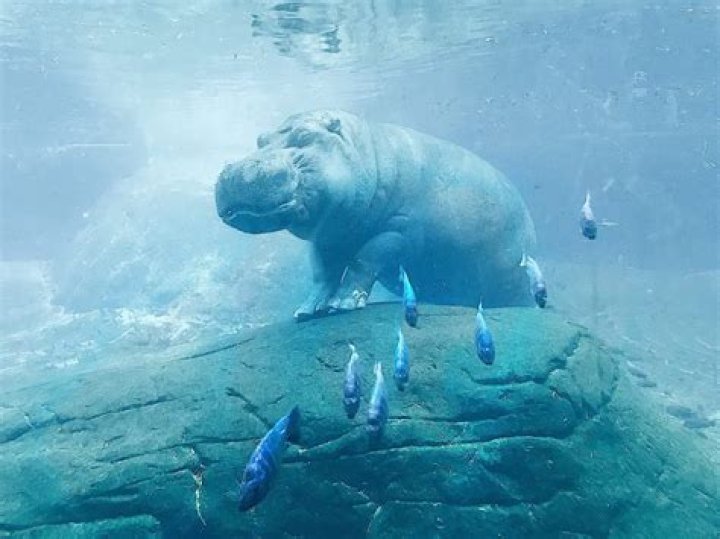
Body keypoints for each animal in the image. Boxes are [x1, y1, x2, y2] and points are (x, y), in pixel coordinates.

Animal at [215, 110, 536, 320]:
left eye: (304, 135)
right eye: (260, 139)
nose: (238, 170)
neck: (367, 152)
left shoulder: (398, 231)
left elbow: (364, 260)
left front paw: (342, 305)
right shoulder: (326, 238)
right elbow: (322, 273)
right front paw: (306, 310)